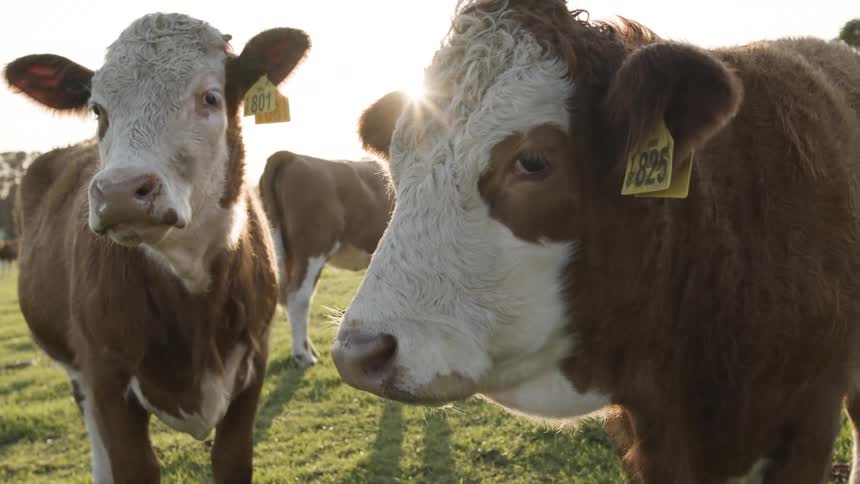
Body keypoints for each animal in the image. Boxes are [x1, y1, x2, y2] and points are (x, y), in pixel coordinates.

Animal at [4, 13, 309, 483]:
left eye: (210, 97)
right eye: (98, 109)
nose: (120, 192)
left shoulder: (253, 364)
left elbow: (232, 458)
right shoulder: (106, 376)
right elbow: (130, 464)